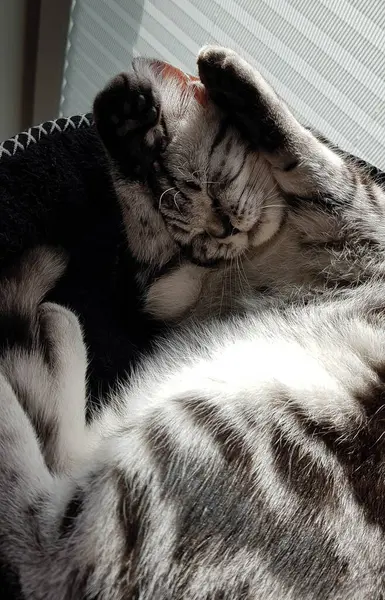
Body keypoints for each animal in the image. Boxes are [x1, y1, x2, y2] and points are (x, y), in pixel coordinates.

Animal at [0, 44, 384, 596]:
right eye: (195, 235)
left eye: (211, 183)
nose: (221, 229)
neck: (262, 254)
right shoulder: (167, 289)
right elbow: (143, 224)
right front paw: (128, 133)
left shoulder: (360, 220)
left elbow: (308, 157)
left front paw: (217, 81)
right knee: (43, 531)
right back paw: (49, 329)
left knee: (47, 528)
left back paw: (51, 326)